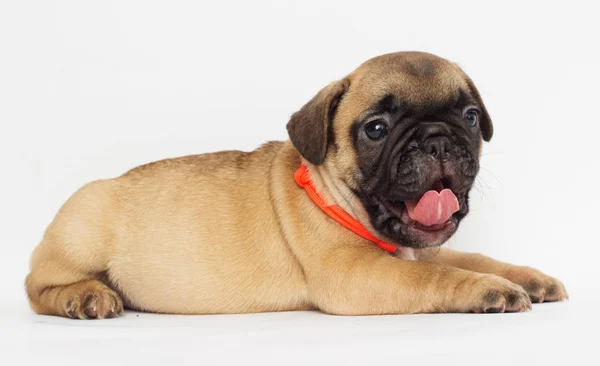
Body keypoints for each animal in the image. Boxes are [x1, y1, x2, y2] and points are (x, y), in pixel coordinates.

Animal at [23, 51, 568, 318]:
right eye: (376, 129)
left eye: (470, 117)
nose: (437, 139)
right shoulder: (354, 274)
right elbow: (437, 278)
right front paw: (488, 291)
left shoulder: (423, 250)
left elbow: (472, 257)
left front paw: (525, 277)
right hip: (82, 230)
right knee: (36, 287)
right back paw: (84, 297)